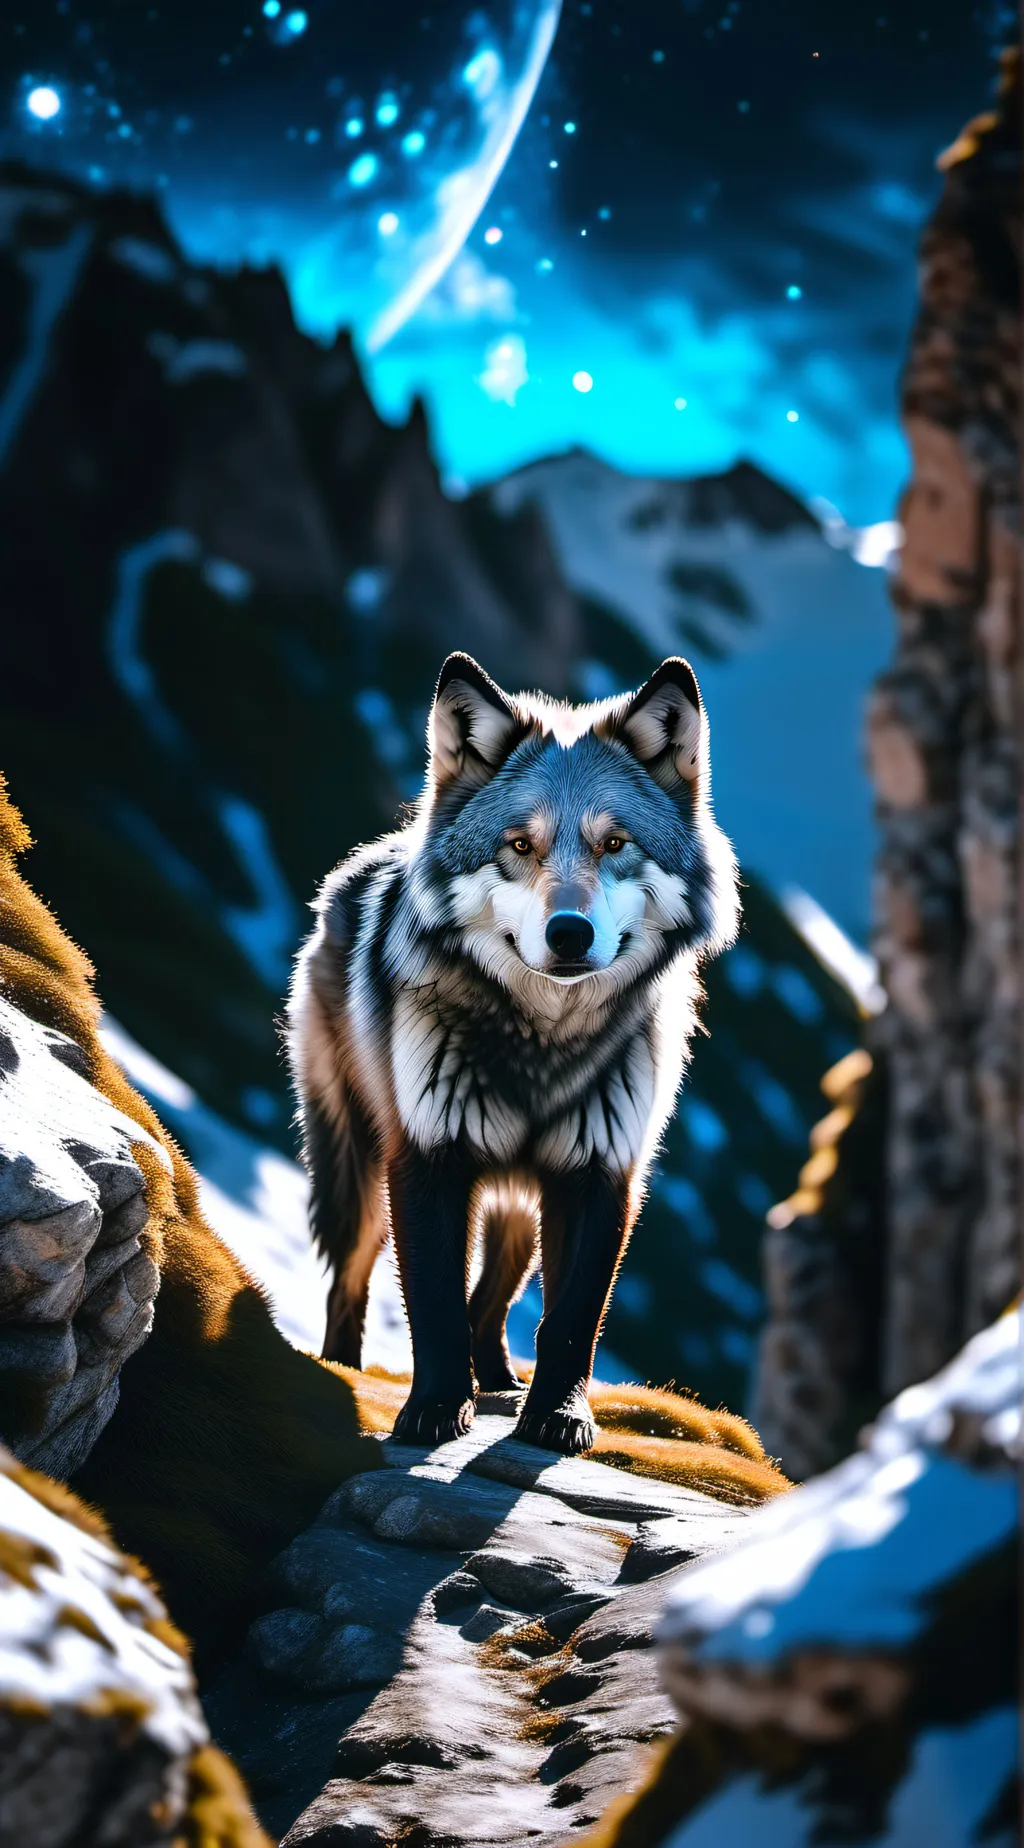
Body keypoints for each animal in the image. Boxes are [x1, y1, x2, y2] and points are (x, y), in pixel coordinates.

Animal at [286, 653, 739, 1454]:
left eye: (614, 845)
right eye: (520, 846)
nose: (569, 933)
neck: (545, 1045)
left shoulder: (600, 1173)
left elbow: (571, 1320)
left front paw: (558, 1414)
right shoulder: (427, 1156)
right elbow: (434, 1301)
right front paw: (435, 1409)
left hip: (522, 1202)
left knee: (495, 1296)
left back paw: (498, 1375)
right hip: (361, 1178)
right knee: (352, 1280)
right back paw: (345, 1365)